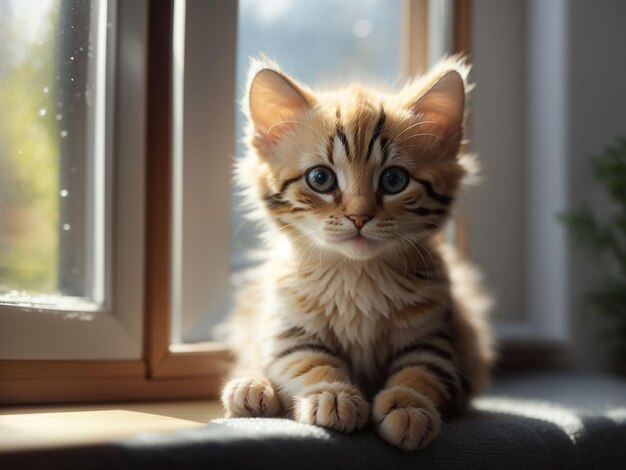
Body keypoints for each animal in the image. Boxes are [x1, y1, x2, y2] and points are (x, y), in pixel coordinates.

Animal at [221, 57, 492, 450]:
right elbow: (309, 362)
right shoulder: (289, 331)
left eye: (394, 180)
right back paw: (252, 389)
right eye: (321, 179)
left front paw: (408, 407)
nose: (359, 217)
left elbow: (419, 373)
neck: (356, 276)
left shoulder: (438, 341)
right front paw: (333, 394)